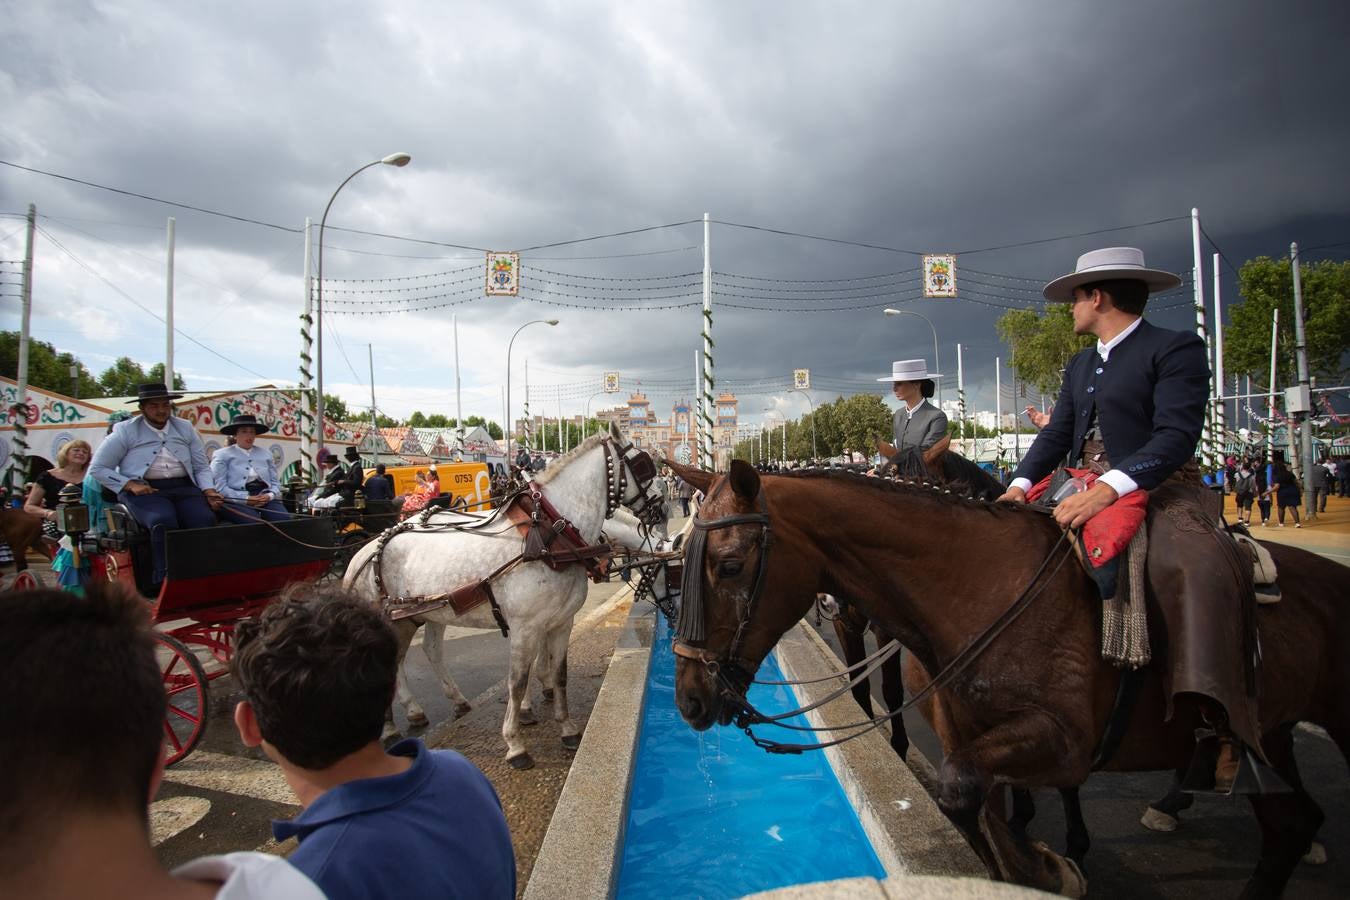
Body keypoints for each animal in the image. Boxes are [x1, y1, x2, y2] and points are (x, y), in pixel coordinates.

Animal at [342, 423, 664, 766]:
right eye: (644, 463)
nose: (662, 508)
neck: (549, 537)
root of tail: (363, 553)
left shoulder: (561, 623)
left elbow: (560, 675)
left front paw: (567, 729)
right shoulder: (526, 627)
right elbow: (517, 682)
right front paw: (515, 742)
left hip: (426, 613)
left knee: (429, 650)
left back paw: (441, 705)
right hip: (394, 620)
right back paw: (391, 727)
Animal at [669, 464, 1344, 900]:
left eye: (730, 565)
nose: (689, 699)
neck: (980, 586)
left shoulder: (1066, 743)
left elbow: (966, 788)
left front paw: (1054, 862)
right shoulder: (963, 730)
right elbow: (972, 807)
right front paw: (1038, 863)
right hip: (1273, 733)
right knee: (1292, 821)